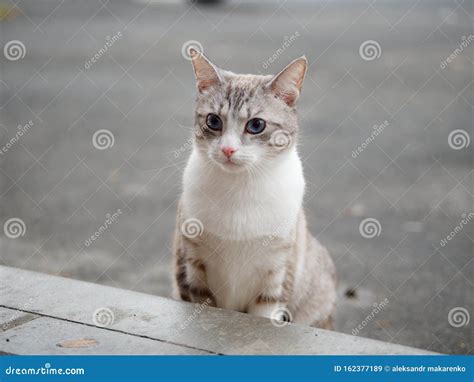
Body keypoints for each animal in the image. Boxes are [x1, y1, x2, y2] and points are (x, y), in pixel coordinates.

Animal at [172, 48, 336, 328]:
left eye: (256, 125)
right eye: (213, 121)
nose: (228, 149)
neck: (239, 188)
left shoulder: (275, 276)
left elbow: (264, 316)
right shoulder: (192, 268)